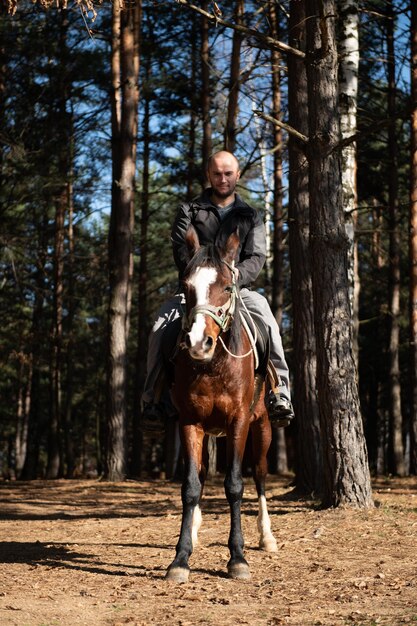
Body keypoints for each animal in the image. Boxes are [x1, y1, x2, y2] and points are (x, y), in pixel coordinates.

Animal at [164, 224, 278, 580]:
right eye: (187, 287)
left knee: (260, 475)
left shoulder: (238, 421)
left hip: (262, 427)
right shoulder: (190, 422)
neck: (213, 365)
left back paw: (267, 536)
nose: (198, 342)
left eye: (227, 286)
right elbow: (191, 486)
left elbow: (235, 485)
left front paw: (238, 557)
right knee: (200, 475)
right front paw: (180, 558)